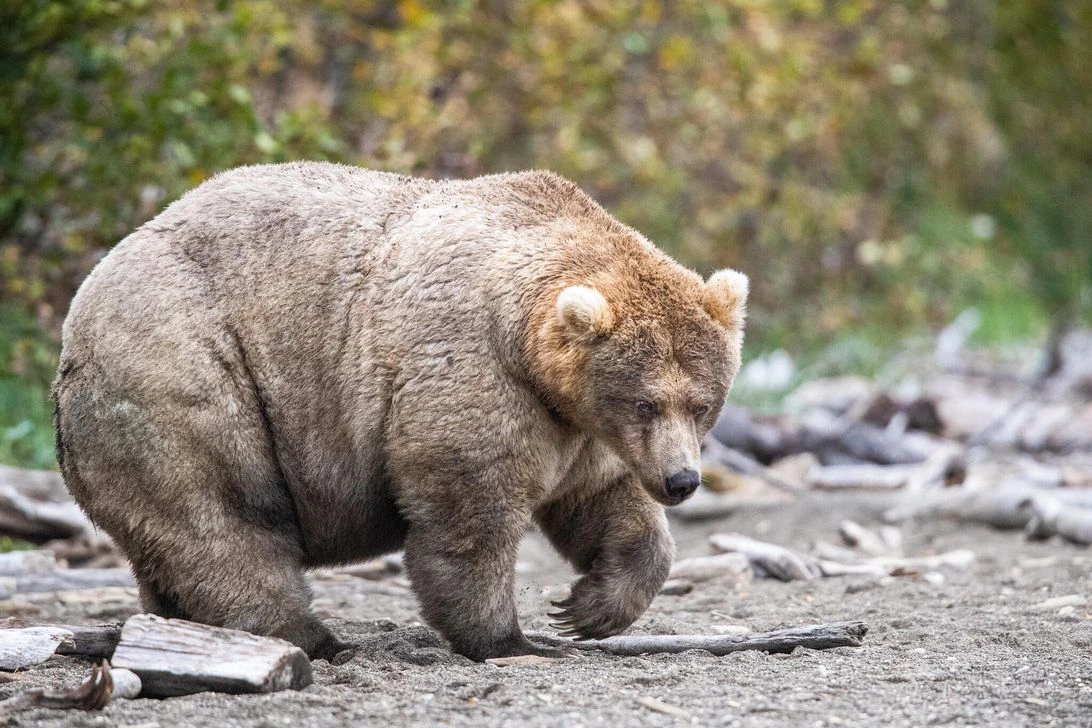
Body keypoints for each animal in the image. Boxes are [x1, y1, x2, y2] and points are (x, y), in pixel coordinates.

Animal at [53, 163, 751, 659]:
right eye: (646, 401)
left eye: (703, 404)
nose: (682, 481)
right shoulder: (474, 371)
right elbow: (469, 509)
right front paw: (511, 639)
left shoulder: (579, 426)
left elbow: (602, 501)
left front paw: (587, 608)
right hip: (186, 371)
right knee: (224, 514)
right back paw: (311, 637)